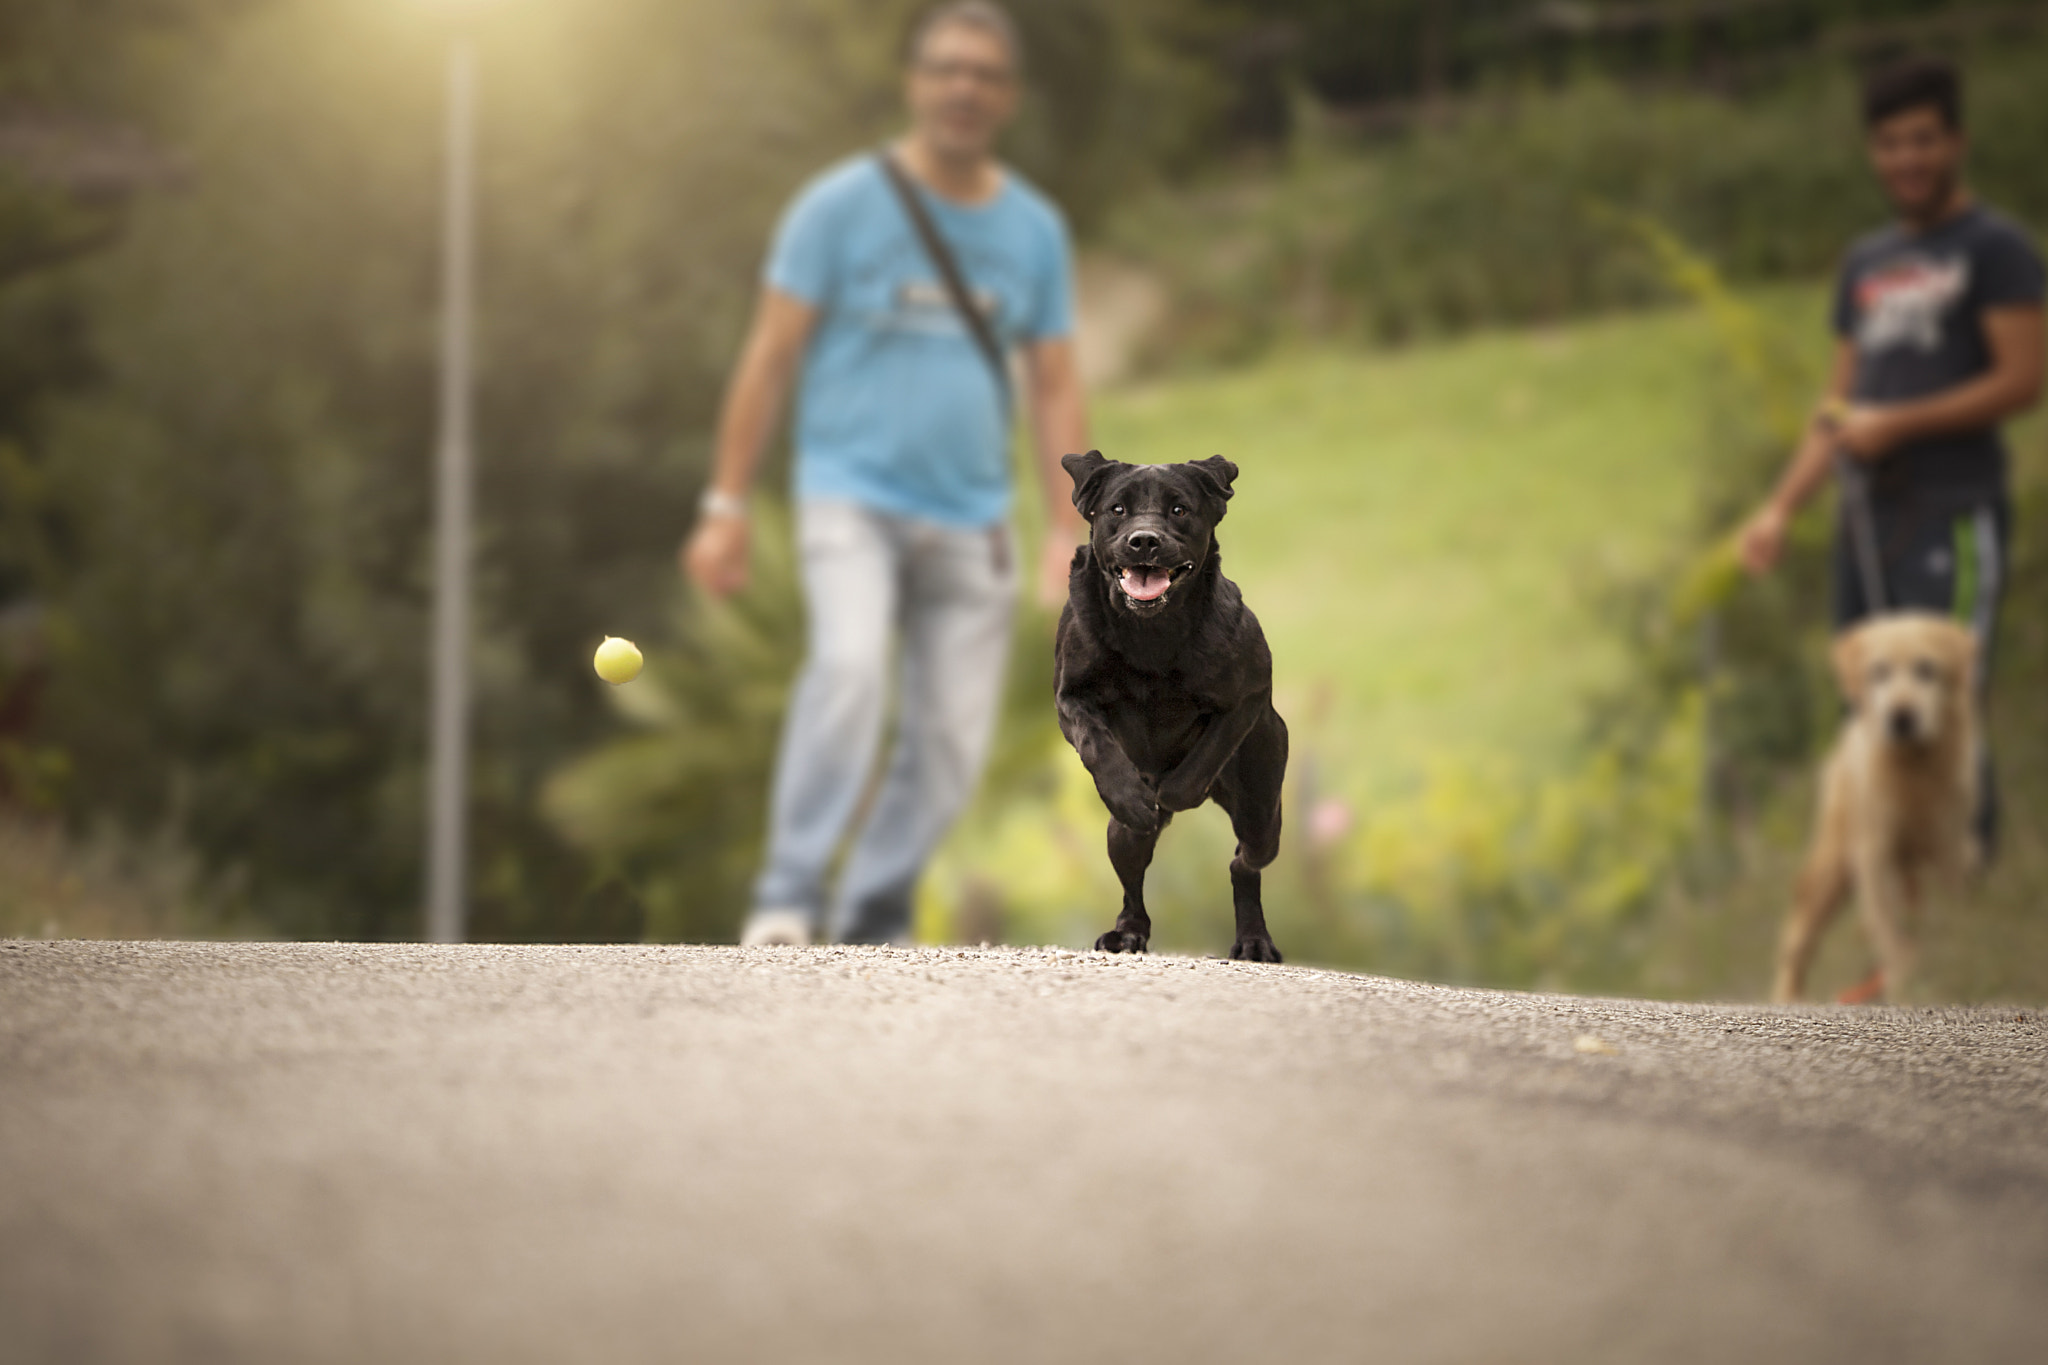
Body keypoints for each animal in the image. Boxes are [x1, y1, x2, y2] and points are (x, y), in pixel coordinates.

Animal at [1048, 448, 1286, 961]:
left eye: (1179, 509)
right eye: (1117, 509)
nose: (1144, 541)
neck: (1151, 634)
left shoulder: (1250, 692)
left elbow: (1206, 755)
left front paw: (1173, 792)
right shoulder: (1070, 696)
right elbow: (1098, 746)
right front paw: (1137, 799)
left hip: (1262, 814)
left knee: (1244, 862)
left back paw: (1254, 941)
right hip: (1119, 837)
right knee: (1133, 883)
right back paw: (1126, 932)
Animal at [1777, 609, 1982, 1002]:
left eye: (1926, 669)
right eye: (1879, 671)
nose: (1901, 716)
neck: (1912, 770)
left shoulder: (1950, 843)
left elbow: (1951, 900)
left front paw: (1960, 944)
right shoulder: (1874, 853)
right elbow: (1890, 931)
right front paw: (1905, 978)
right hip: (1831, 870)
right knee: (1797, 941)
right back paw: (1788, 995)